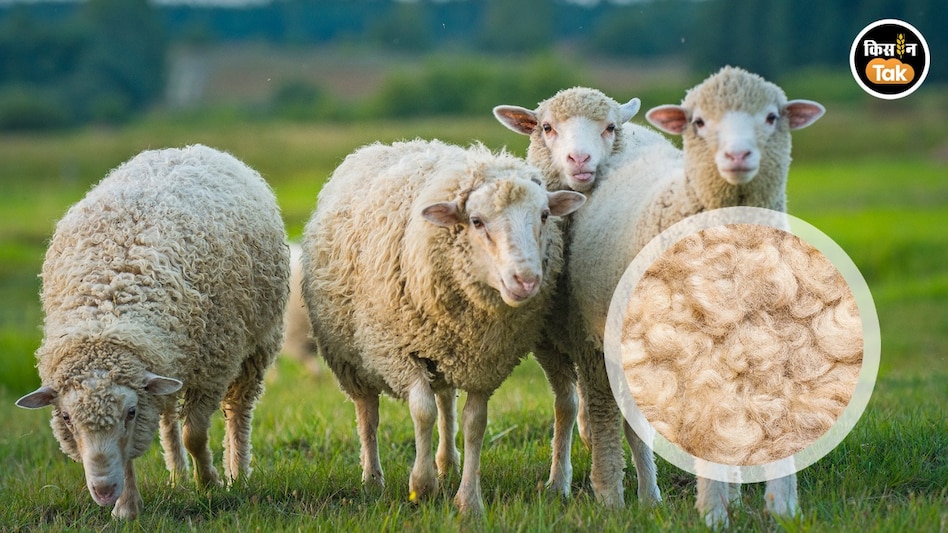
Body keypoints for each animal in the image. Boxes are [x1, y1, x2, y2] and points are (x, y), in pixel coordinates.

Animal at [15, 144, 290, 520]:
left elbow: (195, 435)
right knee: (167, 418)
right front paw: (128, 508)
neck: (107, 311)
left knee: (238, 411)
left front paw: (210, 483)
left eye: (129, 413)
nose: (103, 491)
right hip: (168, 360)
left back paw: (237, 473)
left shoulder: (213, 366)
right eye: (67, 418)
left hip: (255, 345)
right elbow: (131, 453)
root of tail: (189, 149)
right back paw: (177, 476)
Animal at [300, 138, 585, 514]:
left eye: (543, 215)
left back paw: (448, 462)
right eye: (476, 221)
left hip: (443, 349)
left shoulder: (484, 362)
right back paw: (373, 478)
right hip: (349, 356)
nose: (525, 280)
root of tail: (389, 144)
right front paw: (422, 486)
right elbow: (421, 412)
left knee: (446, 399)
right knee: (368, 414)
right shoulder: (398, 351)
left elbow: (474, 423)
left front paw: (469, 500)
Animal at [494, 86, 672, 506]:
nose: (580, 159)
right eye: (546, 127)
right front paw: (560, 482)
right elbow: (566, 404)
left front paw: (650, 495)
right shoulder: (549, 340)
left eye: (610, 127)